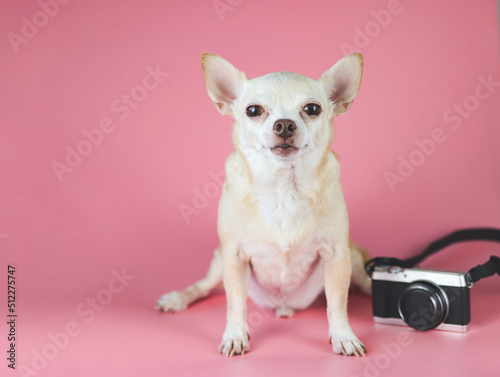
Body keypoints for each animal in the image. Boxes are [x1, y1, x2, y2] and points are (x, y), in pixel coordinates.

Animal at [156, 52, 372, 356]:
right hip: (219, 261)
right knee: (203, 287)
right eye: (253, 110)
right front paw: (235, 335)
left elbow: (338, 304)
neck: (284, 188)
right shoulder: (234, 256)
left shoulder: (337, 256)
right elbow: (235, 303)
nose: (284, 124)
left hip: (356, 265)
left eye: (313, 109)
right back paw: (177, 299)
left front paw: (343, 336)